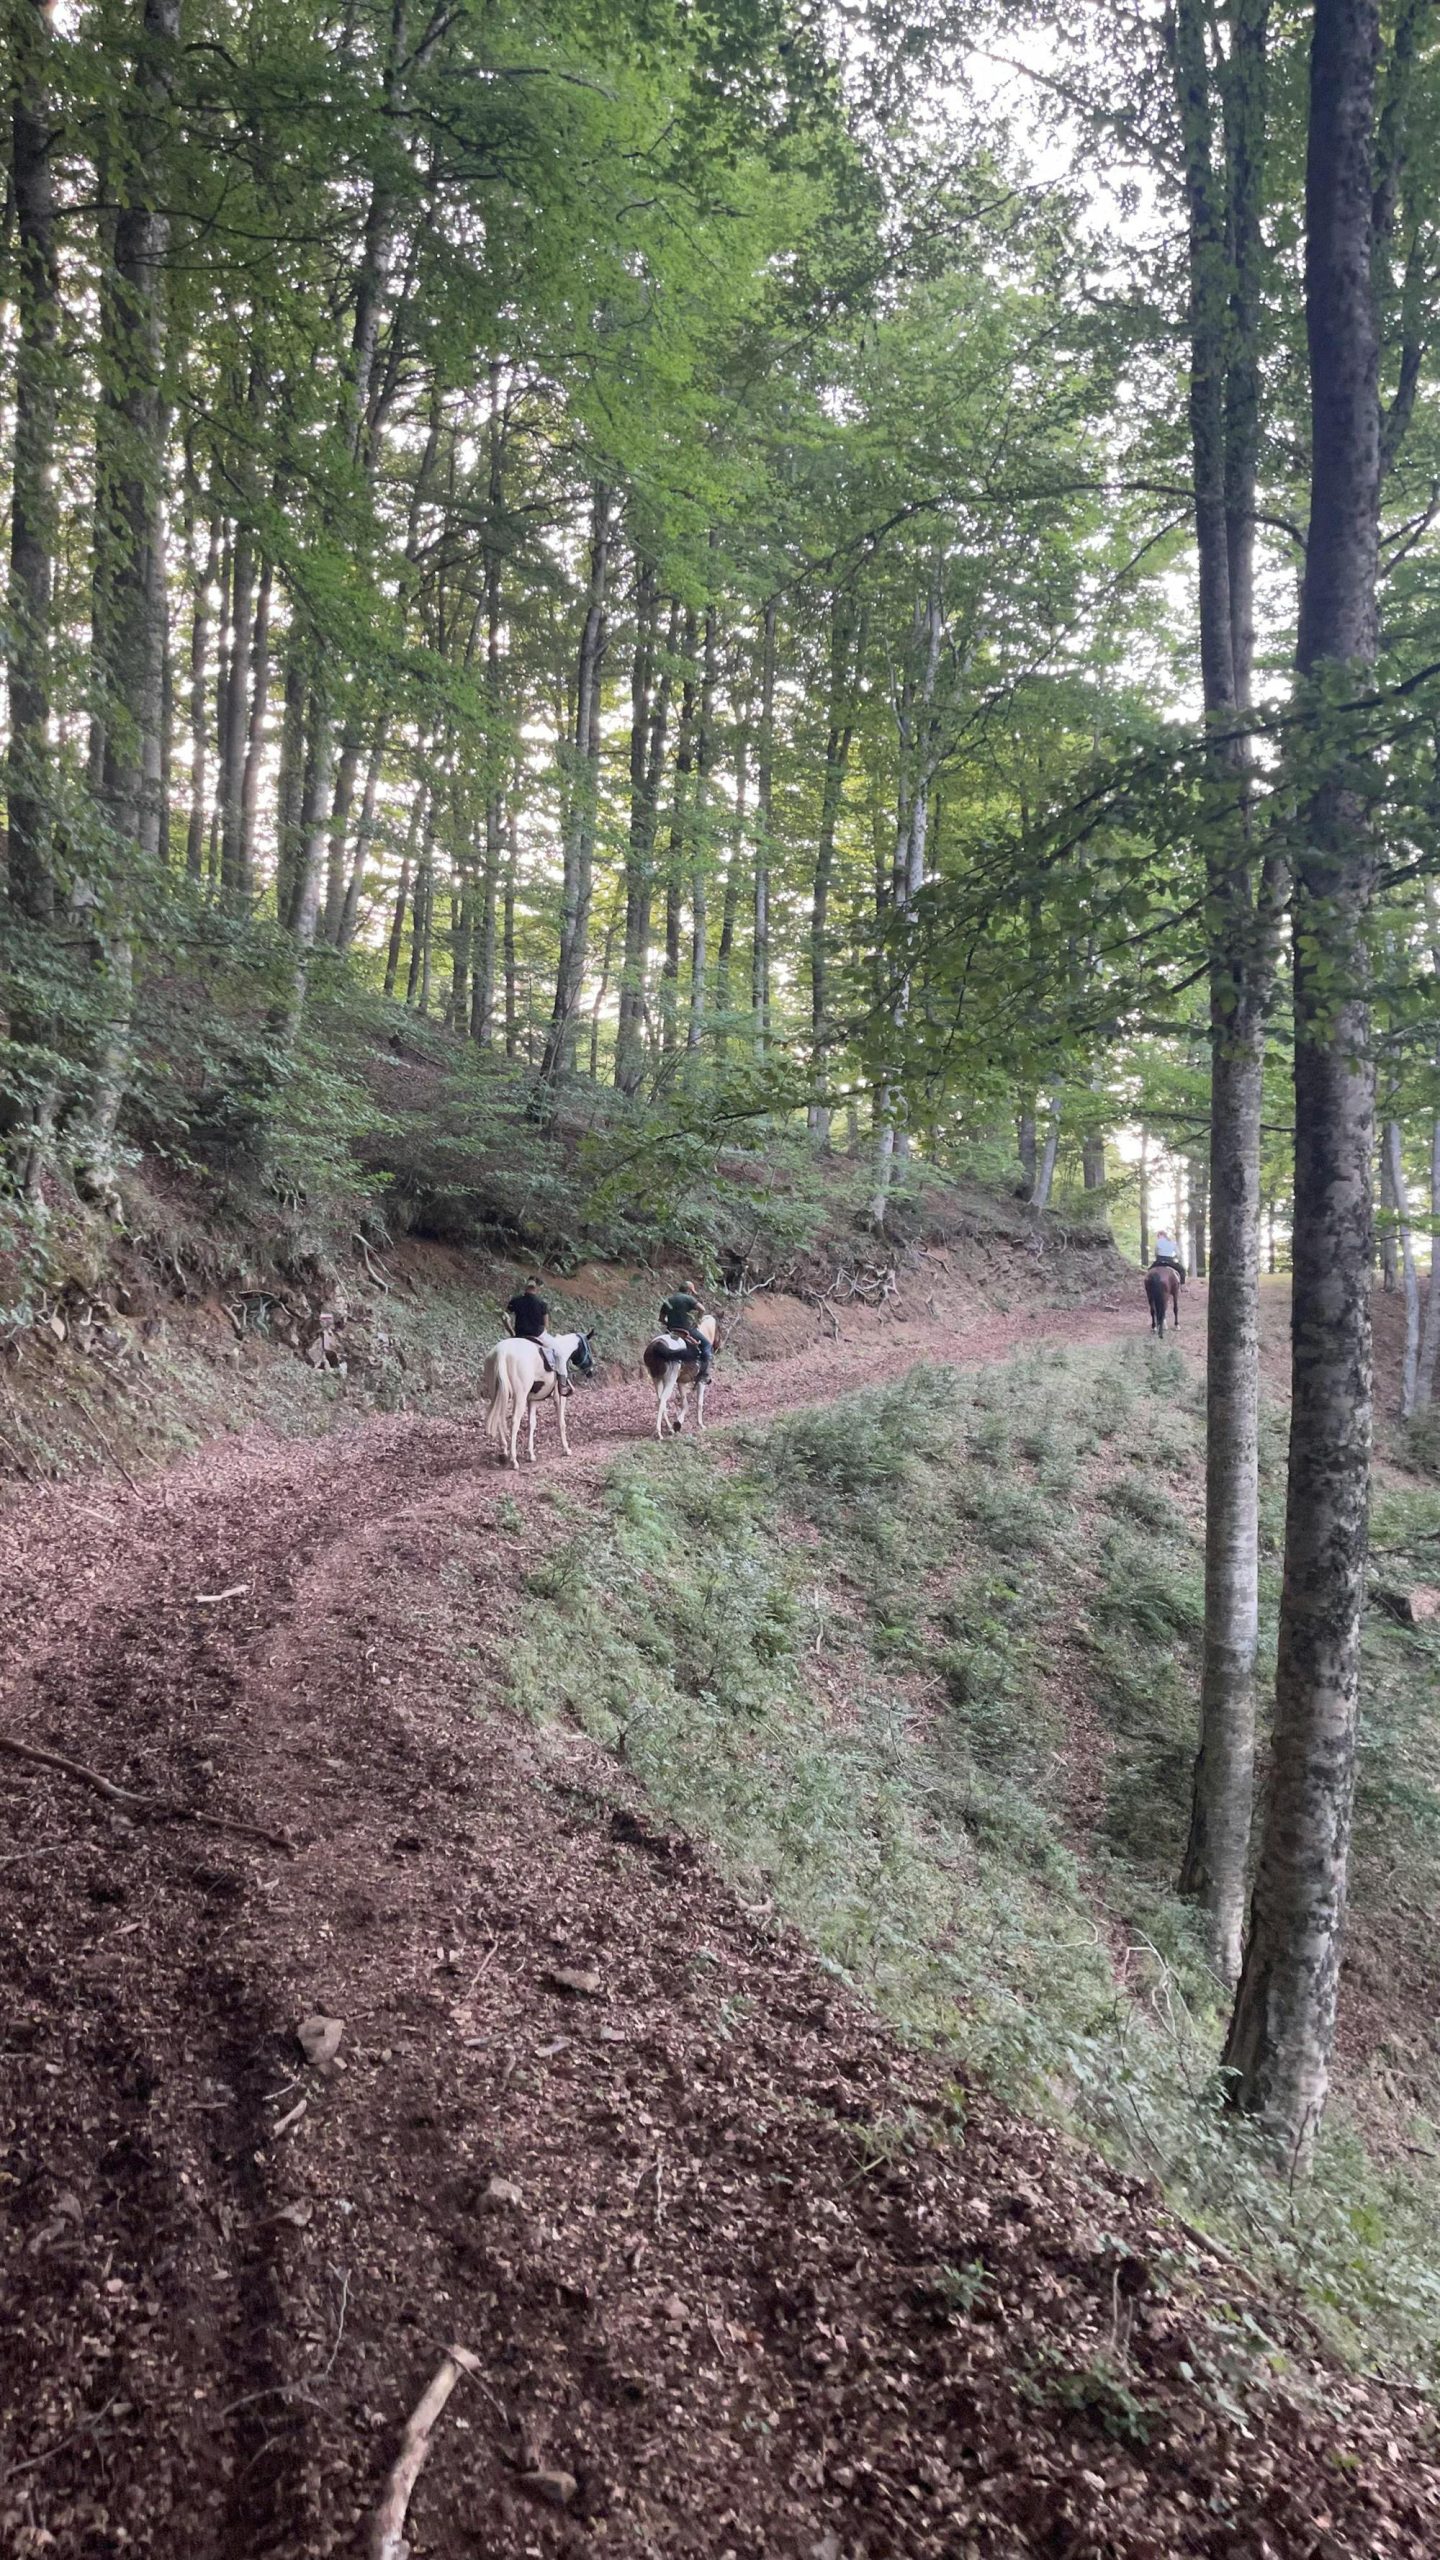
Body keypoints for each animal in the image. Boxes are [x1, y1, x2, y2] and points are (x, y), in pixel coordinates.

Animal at [482, 1330, 594, 1468]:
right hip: (519, 1396)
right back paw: (514, 1460)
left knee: (498, 1418)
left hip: (498, 1394)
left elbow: (532, 1423)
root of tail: (501, 1352)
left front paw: (531, 1454)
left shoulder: (532, 1400)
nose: (591, 1372)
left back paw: (504, 1452)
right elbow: (561, 1422)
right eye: (588, 1347)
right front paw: (566, 1449)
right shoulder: (559, 1397)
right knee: (514, 1422)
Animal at [642, 1311, 718, 1439]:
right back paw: (659, 1433)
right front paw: (700, 1425)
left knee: (660, 1400)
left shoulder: (681, 1382)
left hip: (656, 1378)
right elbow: (699, 1403)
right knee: (663, 1400)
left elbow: (685, 1404)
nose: (717, 1346)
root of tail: (657, 1345)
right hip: (670, 1379)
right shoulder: (701, 1382)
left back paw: (669, 1429)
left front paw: (677, 1423)